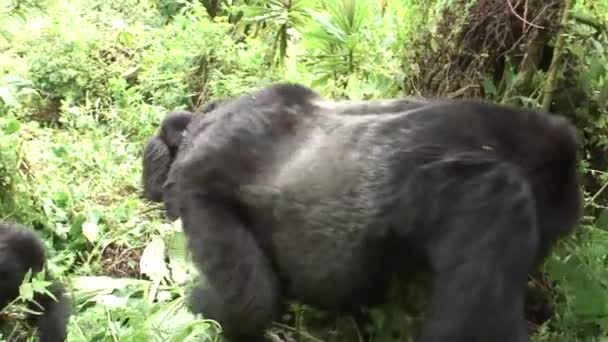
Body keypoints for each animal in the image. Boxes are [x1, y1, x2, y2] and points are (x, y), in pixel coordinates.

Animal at [167, 83, 584, 342]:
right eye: (549, 234)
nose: (541, 257)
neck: (500, 140)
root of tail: (201, 128)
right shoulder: (496, 198)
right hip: (195, 186)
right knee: (252, 300)